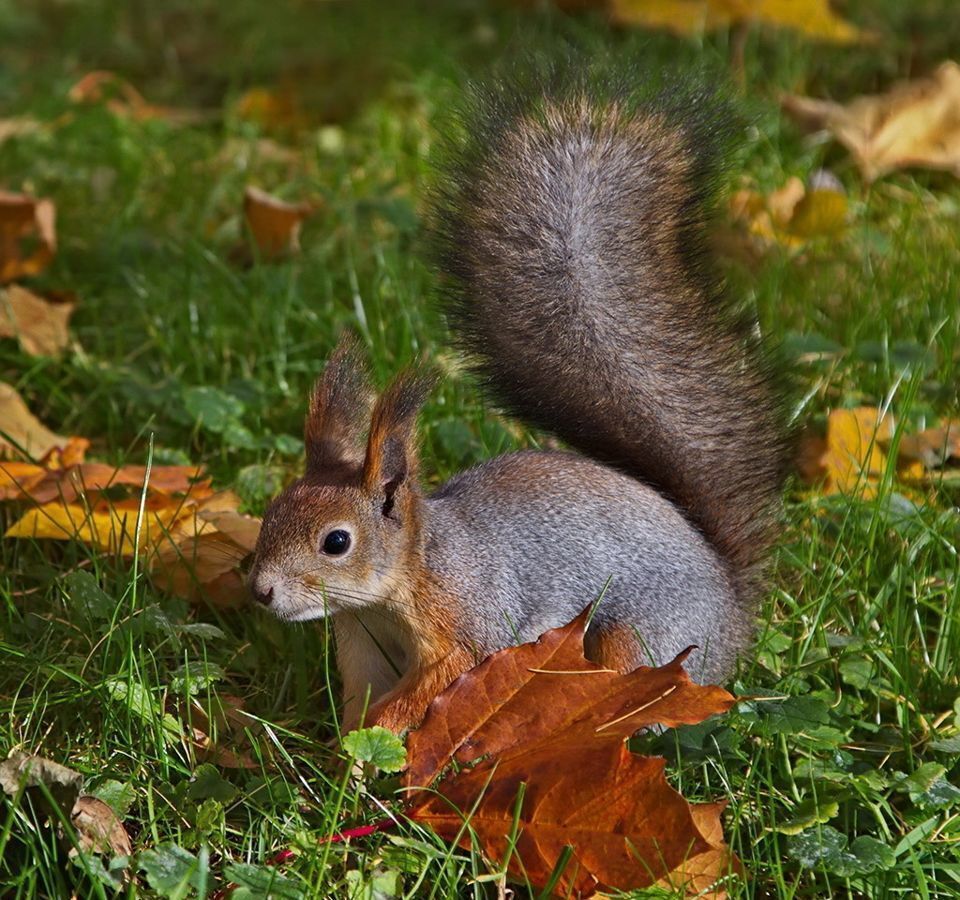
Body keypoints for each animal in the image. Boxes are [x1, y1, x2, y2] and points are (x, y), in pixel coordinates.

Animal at [248, 67, 788, 736]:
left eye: (337, 542)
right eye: (272, 510)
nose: (261, 591)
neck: (408, 576)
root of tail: (732, 612)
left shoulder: (471, 618)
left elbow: (445, 674)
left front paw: (383, 731)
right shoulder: (362, 646)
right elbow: (359, 702)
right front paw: (344, 747)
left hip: (642, 640)